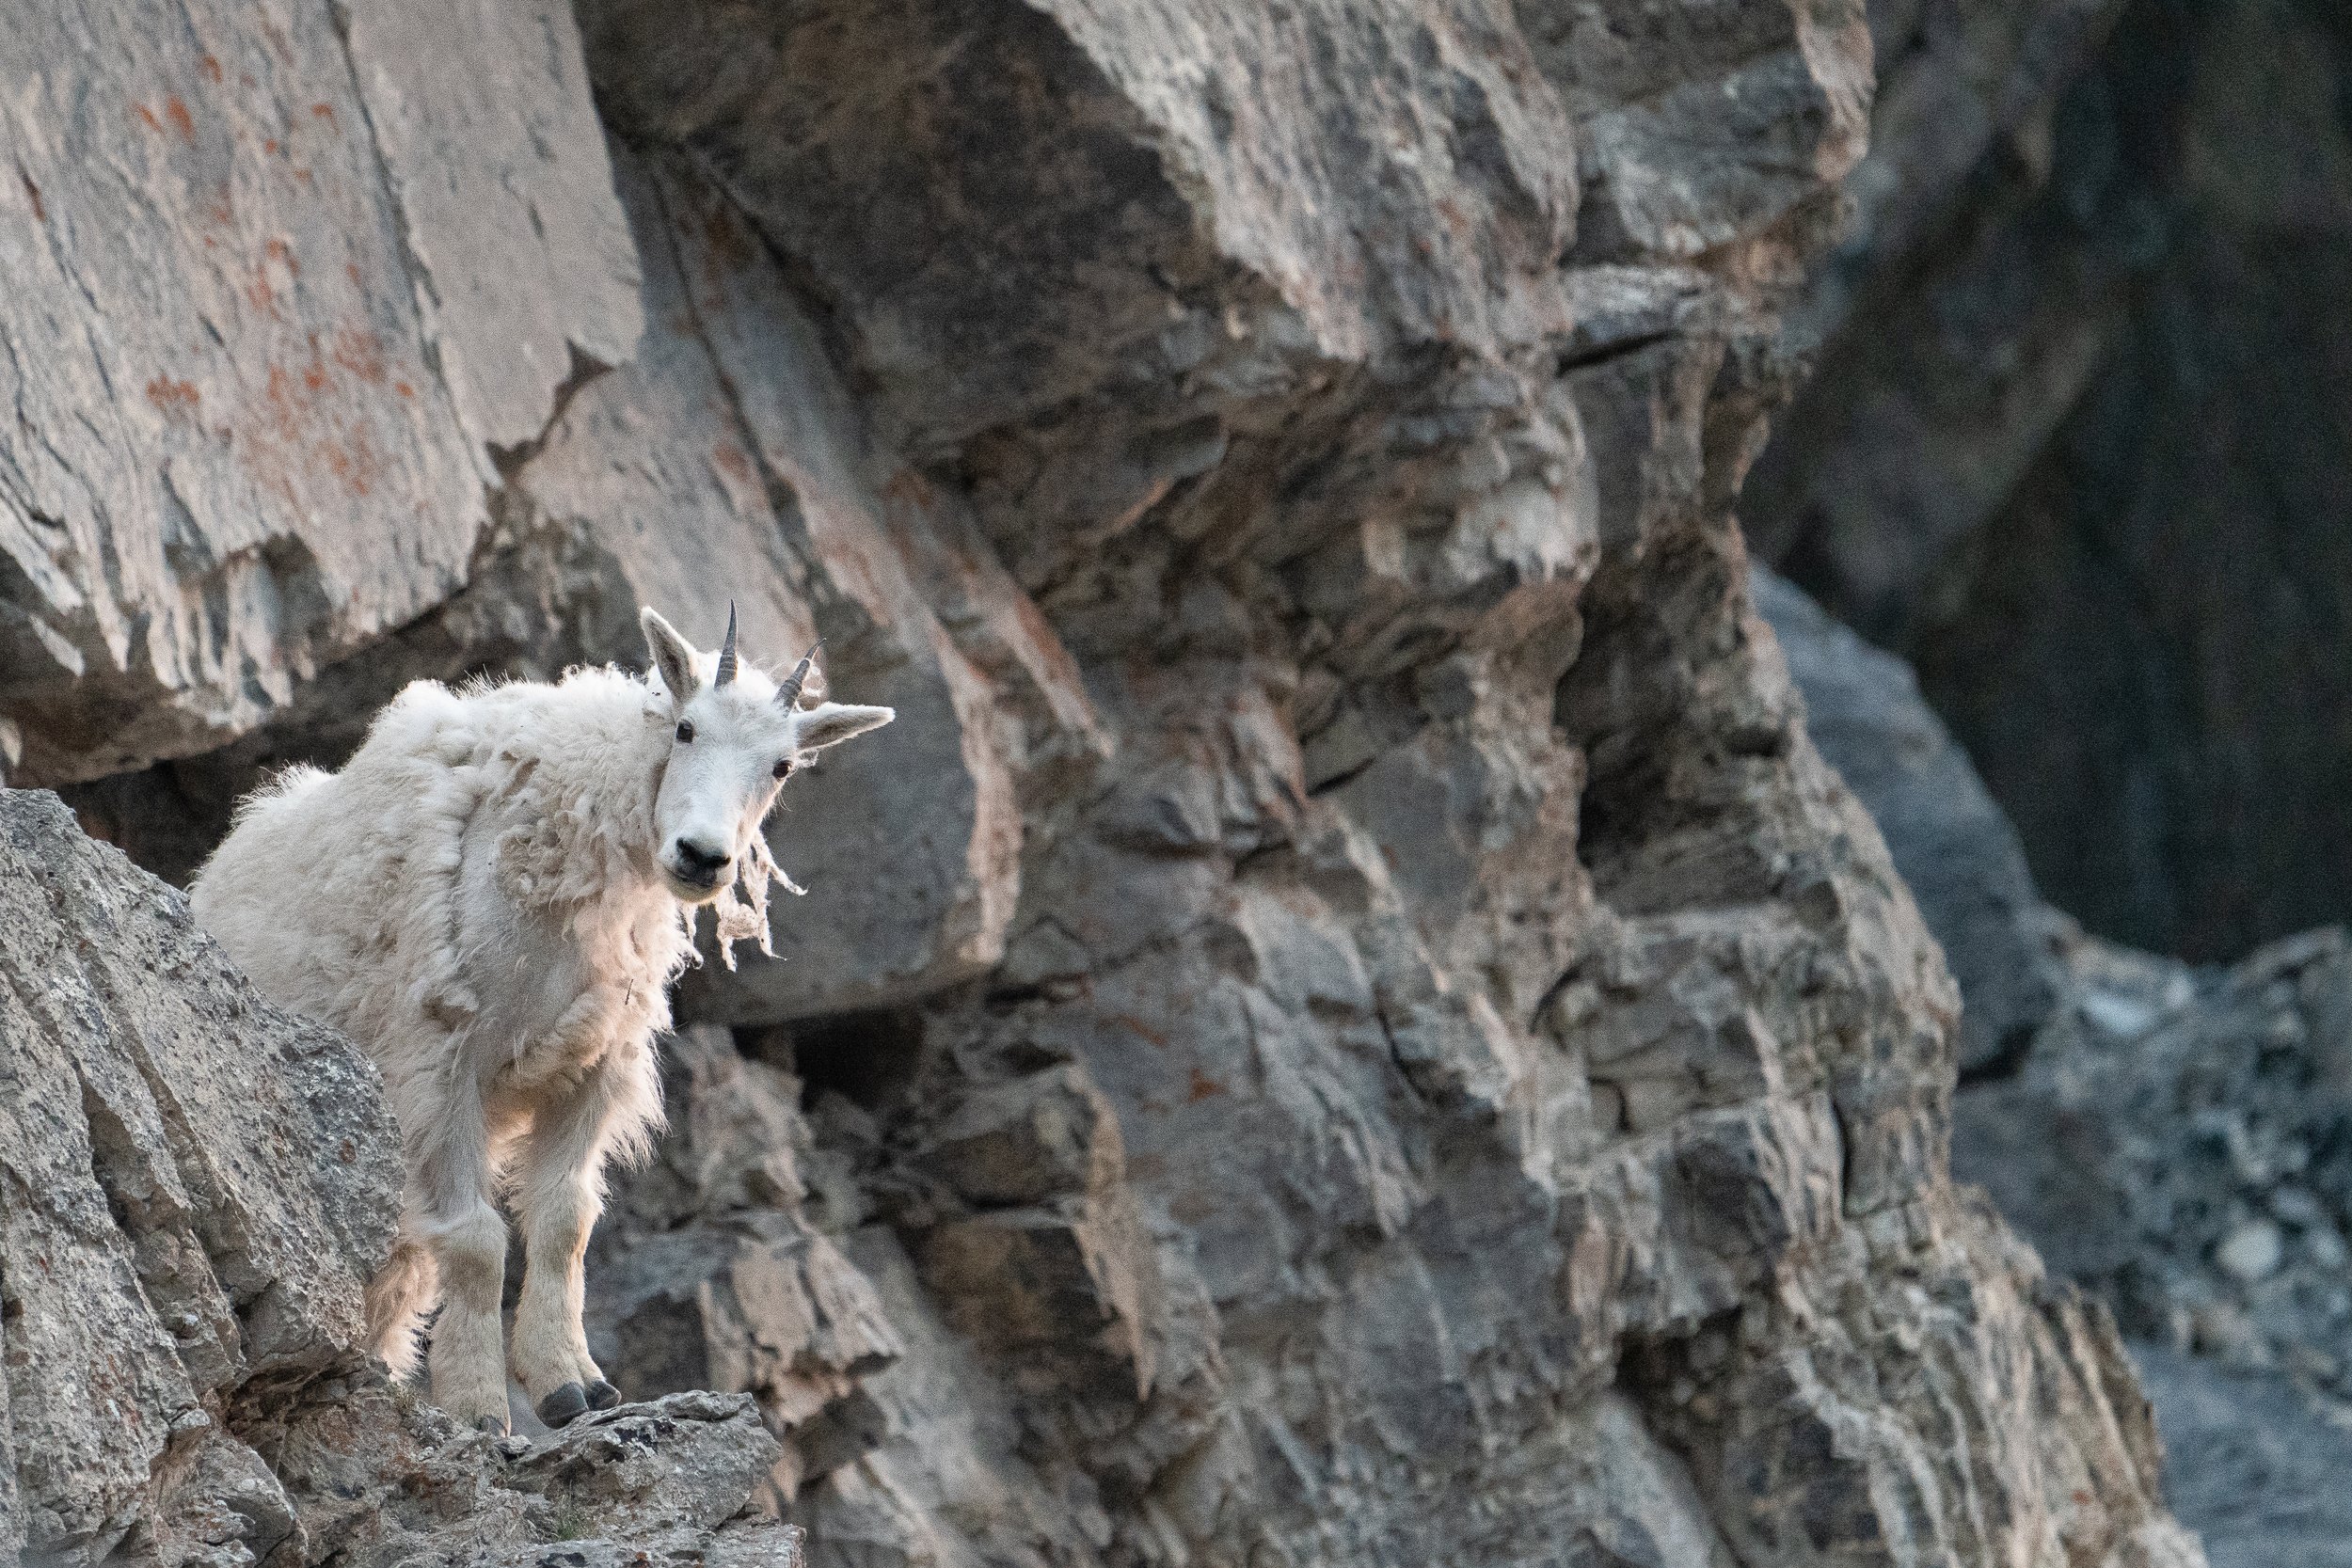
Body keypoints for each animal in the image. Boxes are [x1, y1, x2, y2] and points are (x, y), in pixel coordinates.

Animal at [189, 606, 892, 1432]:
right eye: (686, 728)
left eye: (782, 766)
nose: (702, 855)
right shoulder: (440, 1061)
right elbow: (475, 1238)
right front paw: (477, 1404)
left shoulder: (590, 1067)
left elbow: (564, 1221)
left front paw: (571, 1383)